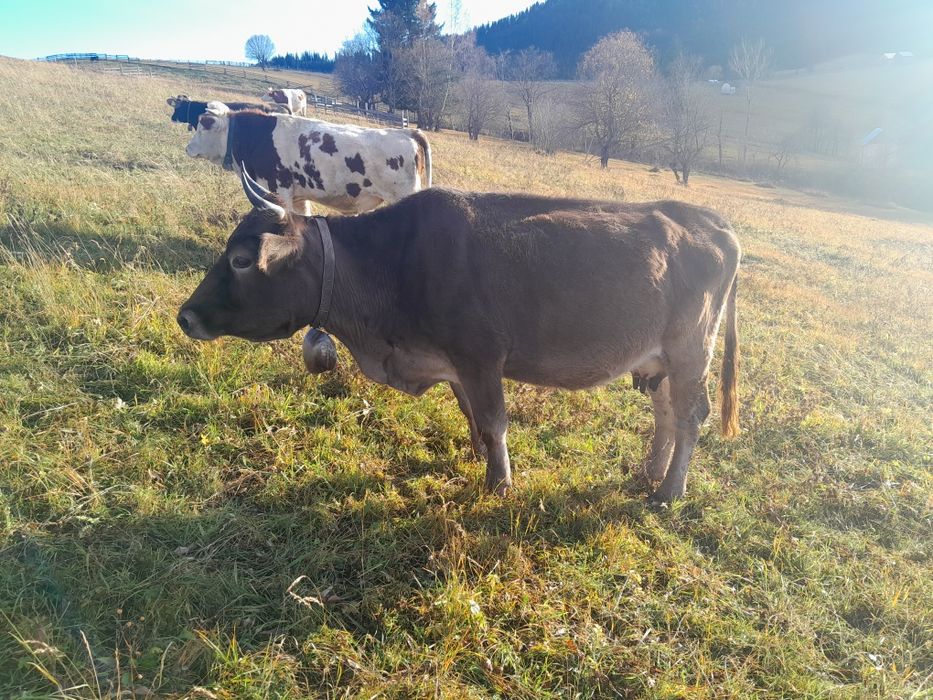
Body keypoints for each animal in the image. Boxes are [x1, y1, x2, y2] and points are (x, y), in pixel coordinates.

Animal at [177, 170, 742, 504]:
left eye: (241, 259)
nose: (186, 316)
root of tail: (710, 219)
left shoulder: (481, 358)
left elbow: (494, 422)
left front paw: (500, 483)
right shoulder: (454, 367)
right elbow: (471, 416)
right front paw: (476, 457)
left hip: (691, 350)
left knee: (691, 415)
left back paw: (668, 492)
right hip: (660, 359)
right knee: (665, 413)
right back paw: (650, 472)